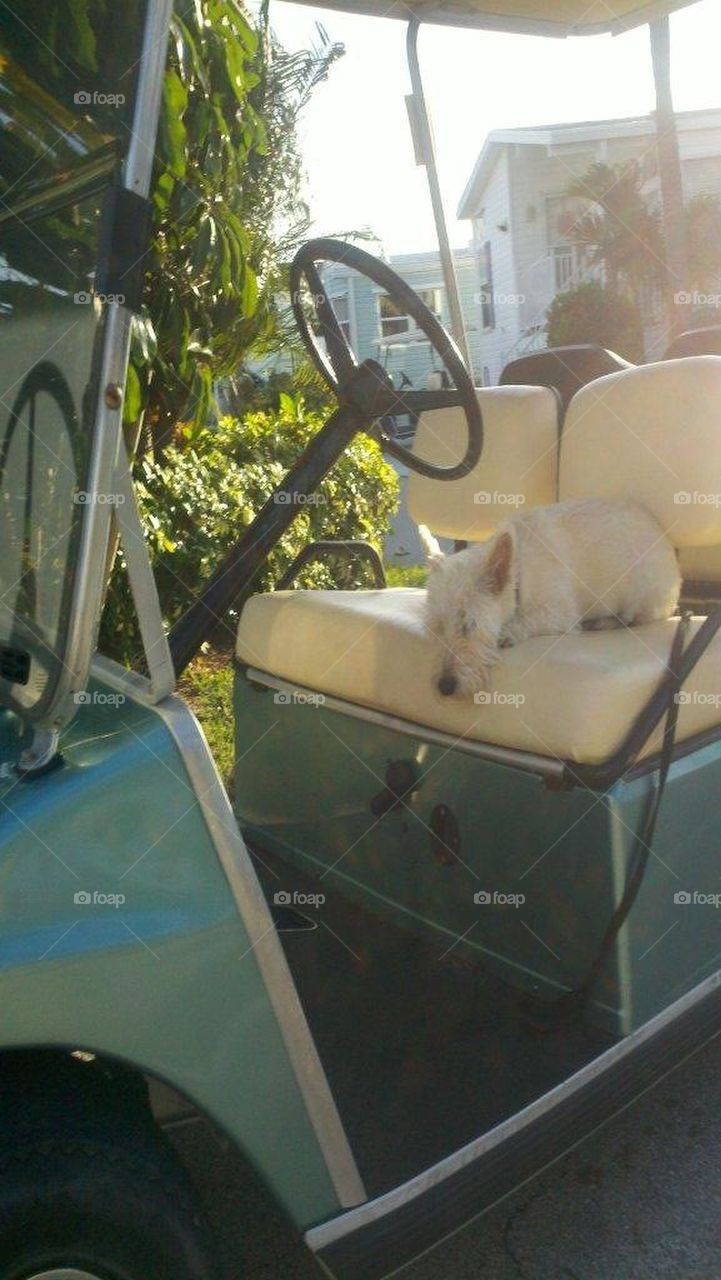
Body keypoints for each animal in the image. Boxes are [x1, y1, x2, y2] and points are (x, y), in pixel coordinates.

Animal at [420, 499, 681, 701]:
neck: (519, 575)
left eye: (469, 626)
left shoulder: (560, 613)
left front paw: (508, 633)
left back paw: (604, 622)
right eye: (437, 627)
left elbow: (529, 620)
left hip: (646, 598)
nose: (445, 687)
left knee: (633, 619)